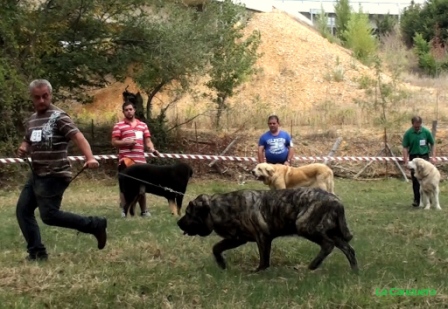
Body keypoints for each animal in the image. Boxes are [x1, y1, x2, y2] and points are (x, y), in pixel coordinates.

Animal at [177, 186, 358, 270]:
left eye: (188, 212)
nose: (178, 222)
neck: (220, 208)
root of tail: (336, 201)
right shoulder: (236, 239)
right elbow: (216, 247)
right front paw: (221, 264)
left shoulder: (261, 237)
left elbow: (264, 260)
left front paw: (257, 272)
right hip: (333, 233)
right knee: (348, 249)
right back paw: (354, 271)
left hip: (305, 226)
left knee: (328, 245)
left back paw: (313, 266)